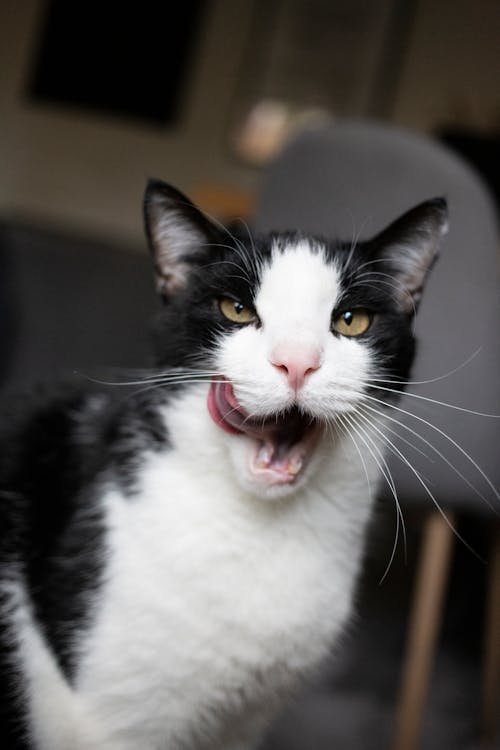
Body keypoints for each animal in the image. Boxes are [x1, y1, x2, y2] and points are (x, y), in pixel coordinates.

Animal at [0, 179, 448, 748]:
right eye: (236, 309)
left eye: (351, 320)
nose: (296, 362)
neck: (262, 531)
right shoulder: (111, 723)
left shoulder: (241, 725)